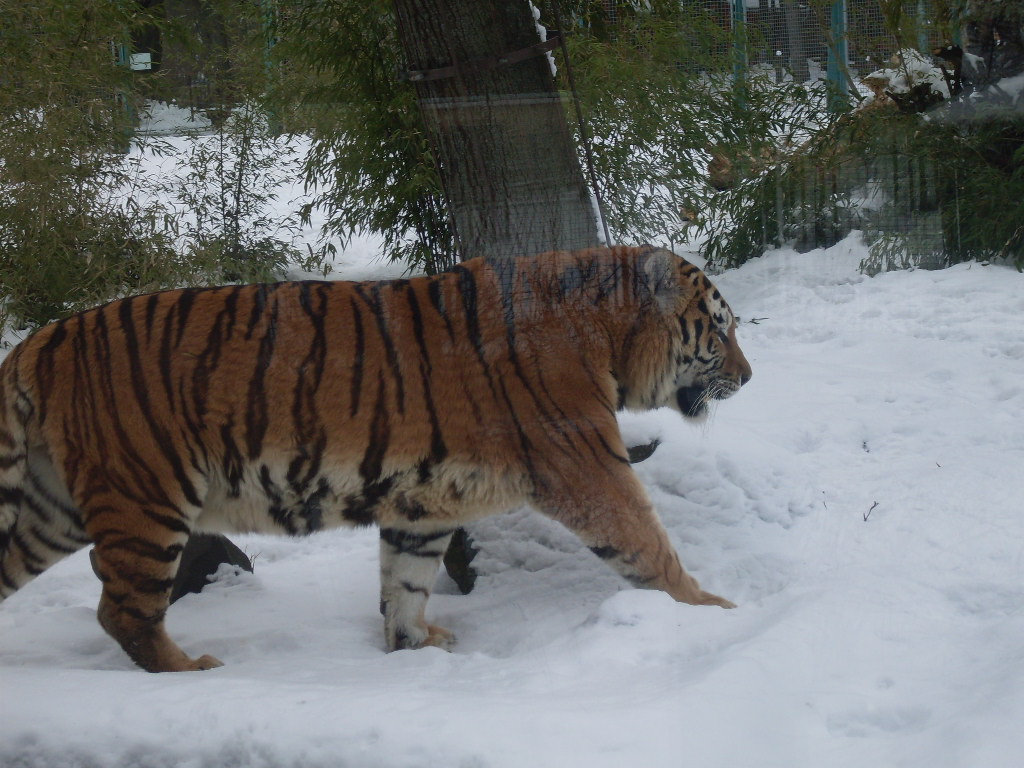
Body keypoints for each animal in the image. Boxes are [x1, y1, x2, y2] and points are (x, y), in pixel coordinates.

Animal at [0, 245, 752, 672]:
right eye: (719, 328)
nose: (747, 378)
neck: (605, 335)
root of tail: (38, 341)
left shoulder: (423, 501)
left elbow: (405, 583)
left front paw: (413, 648)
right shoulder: (588, 466)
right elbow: (648, 546)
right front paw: (715, 612)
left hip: (53, 510)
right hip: (146, 500)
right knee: (124, 613)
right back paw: (193, 670)